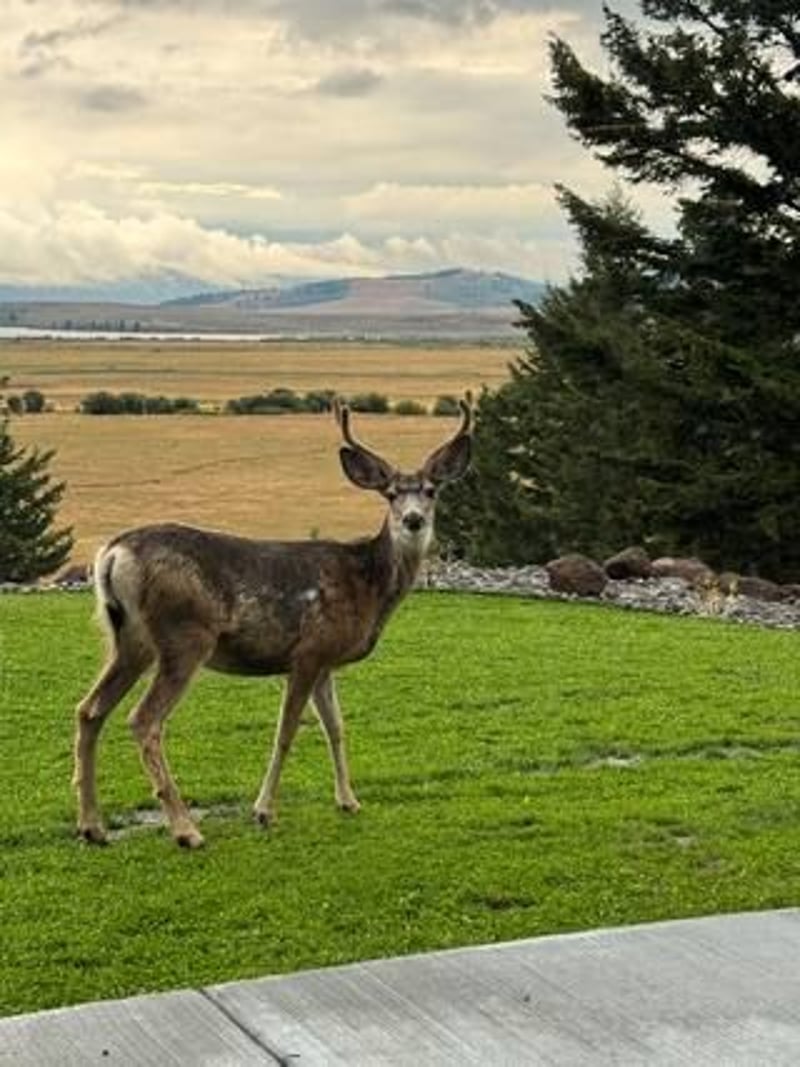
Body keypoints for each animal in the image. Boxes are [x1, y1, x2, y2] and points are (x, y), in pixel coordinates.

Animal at [73, 396, 472, 848]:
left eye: (431, 491)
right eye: (390, 495)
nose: (413, 520)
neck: (367, 586)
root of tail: (112, 553)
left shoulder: (326, 661)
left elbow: (336, 727)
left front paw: (349, 801)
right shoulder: (308, 652)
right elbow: (286, 730)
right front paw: (263, 810)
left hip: (129, 639)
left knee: (89, 710)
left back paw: (92, 826)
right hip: (184, 636)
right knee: (144, 719)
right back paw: (186, 830)